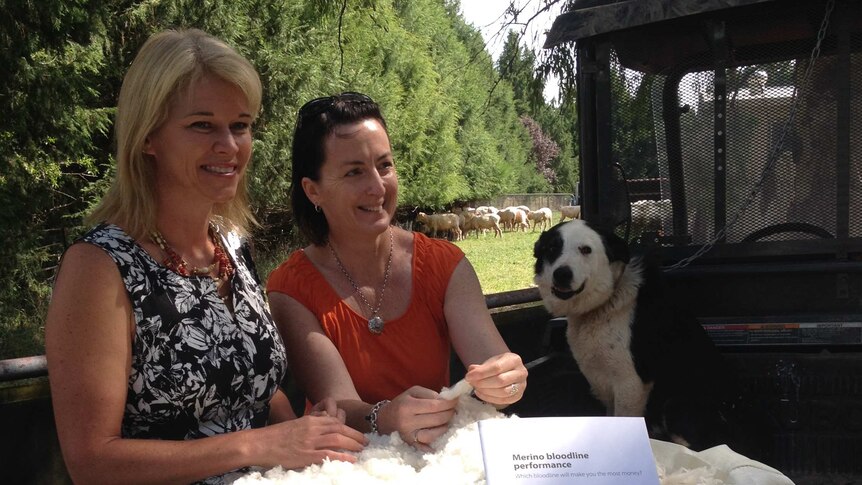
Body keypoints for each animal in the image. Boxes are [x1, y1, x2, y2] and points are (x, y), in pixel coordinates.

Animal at [532, 219, 736, 450]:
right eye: (551, 248)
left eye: (585, 250)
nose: (562, 274)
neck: (605, 302)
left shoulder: (631, 384)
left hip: (676, 403)